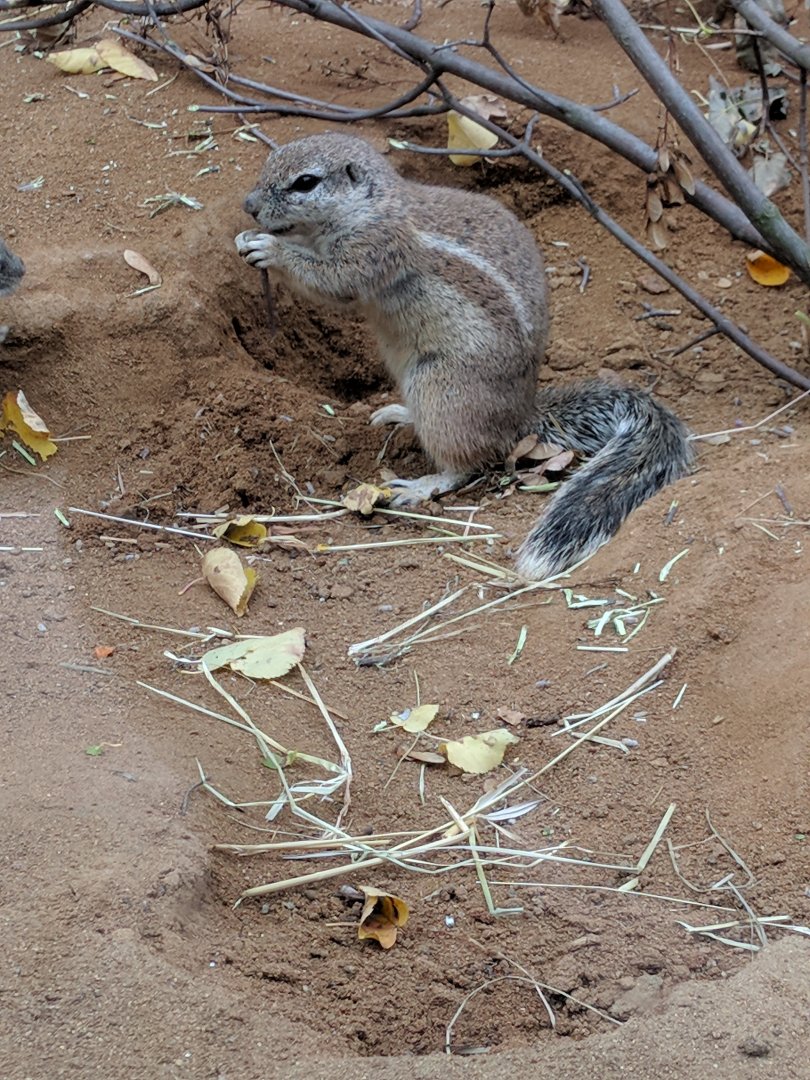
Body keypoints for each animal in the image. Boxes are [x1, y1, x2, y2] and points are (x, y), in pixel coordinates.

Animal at [235, 132, 692, 580]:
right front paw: (247, 238)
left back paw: (421, 485)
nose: (248, 205)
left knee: (466, 464)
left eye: (305, 183)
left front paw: (271, 249)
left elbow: (331, 281)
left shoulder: (374, 249)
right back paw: (400, 415)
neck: (372, 206)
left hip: (441, 388)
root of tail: (519, 416)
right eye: (271, 161)